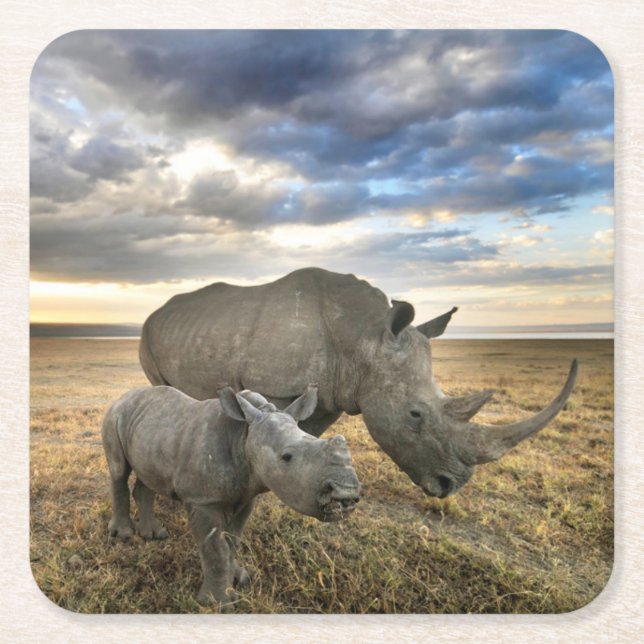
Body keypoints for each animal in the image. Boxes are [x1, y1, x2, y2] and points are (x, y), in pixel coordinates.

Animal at [102, 384, 360, 609]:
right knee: (119, 470)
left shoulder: (246, 495)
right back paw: (123, 535)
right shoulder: (203, 500)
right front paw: (218, 603)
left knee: (147, 477)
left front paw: (239, 579)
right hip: (115, 415)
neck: (244, 435)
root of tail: (124, 396)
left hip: (150, 429)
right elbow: (215, 547)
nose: (347, 493)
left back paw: (154, 535)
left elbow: (232, 540)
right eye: (286, 457)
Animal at [140, 267, 577, 499]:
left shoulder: (333, 392)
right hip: (148, 333)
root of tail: (157, 311)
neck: (364, 338)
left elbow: (306, 435)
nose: (450, 486)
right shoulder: (276, 385)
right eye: (415, 414)